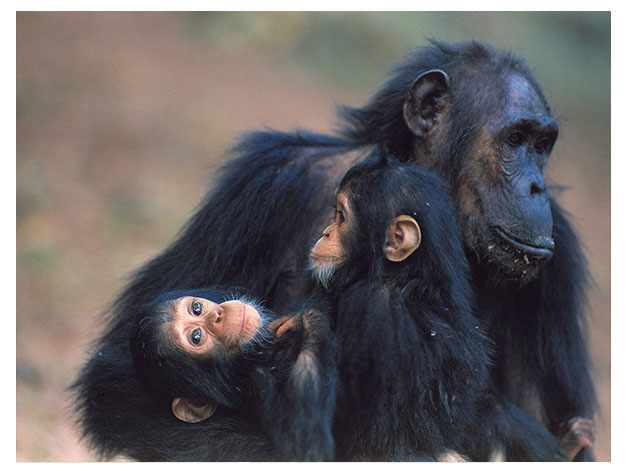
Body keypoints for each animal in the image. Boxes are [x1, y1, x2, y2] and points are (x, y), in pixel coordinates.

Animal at [129, 286, 338, 462]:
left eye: (196, 308)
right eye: (196, 337)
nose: (217, 315)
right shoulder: (259, 382)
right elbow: (304, 445)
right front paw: (308, 317)